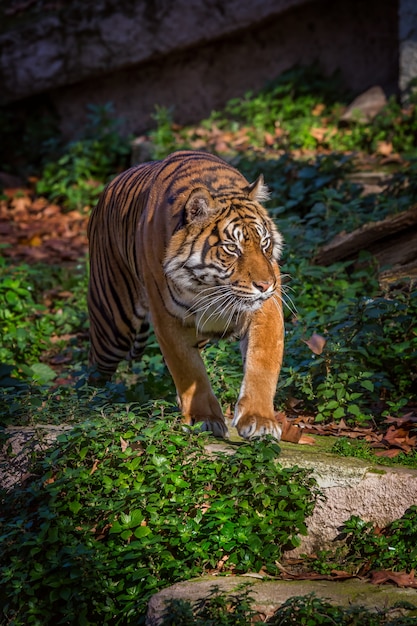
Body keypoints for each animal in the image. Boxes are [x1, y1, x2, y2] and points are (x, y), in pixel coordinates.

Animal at [86, 150, 284, 438]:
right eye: (232, 248)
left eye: (265, 242)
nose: (266, 285)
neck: (210, 288)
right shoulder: (168, 319)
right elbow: (189, 370)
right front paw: (204, 418)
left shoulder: (266, 310)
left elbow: (262, 362)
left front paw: (259, 420)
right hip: (113, 325)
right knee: (95, 368)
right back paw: (90, 405)